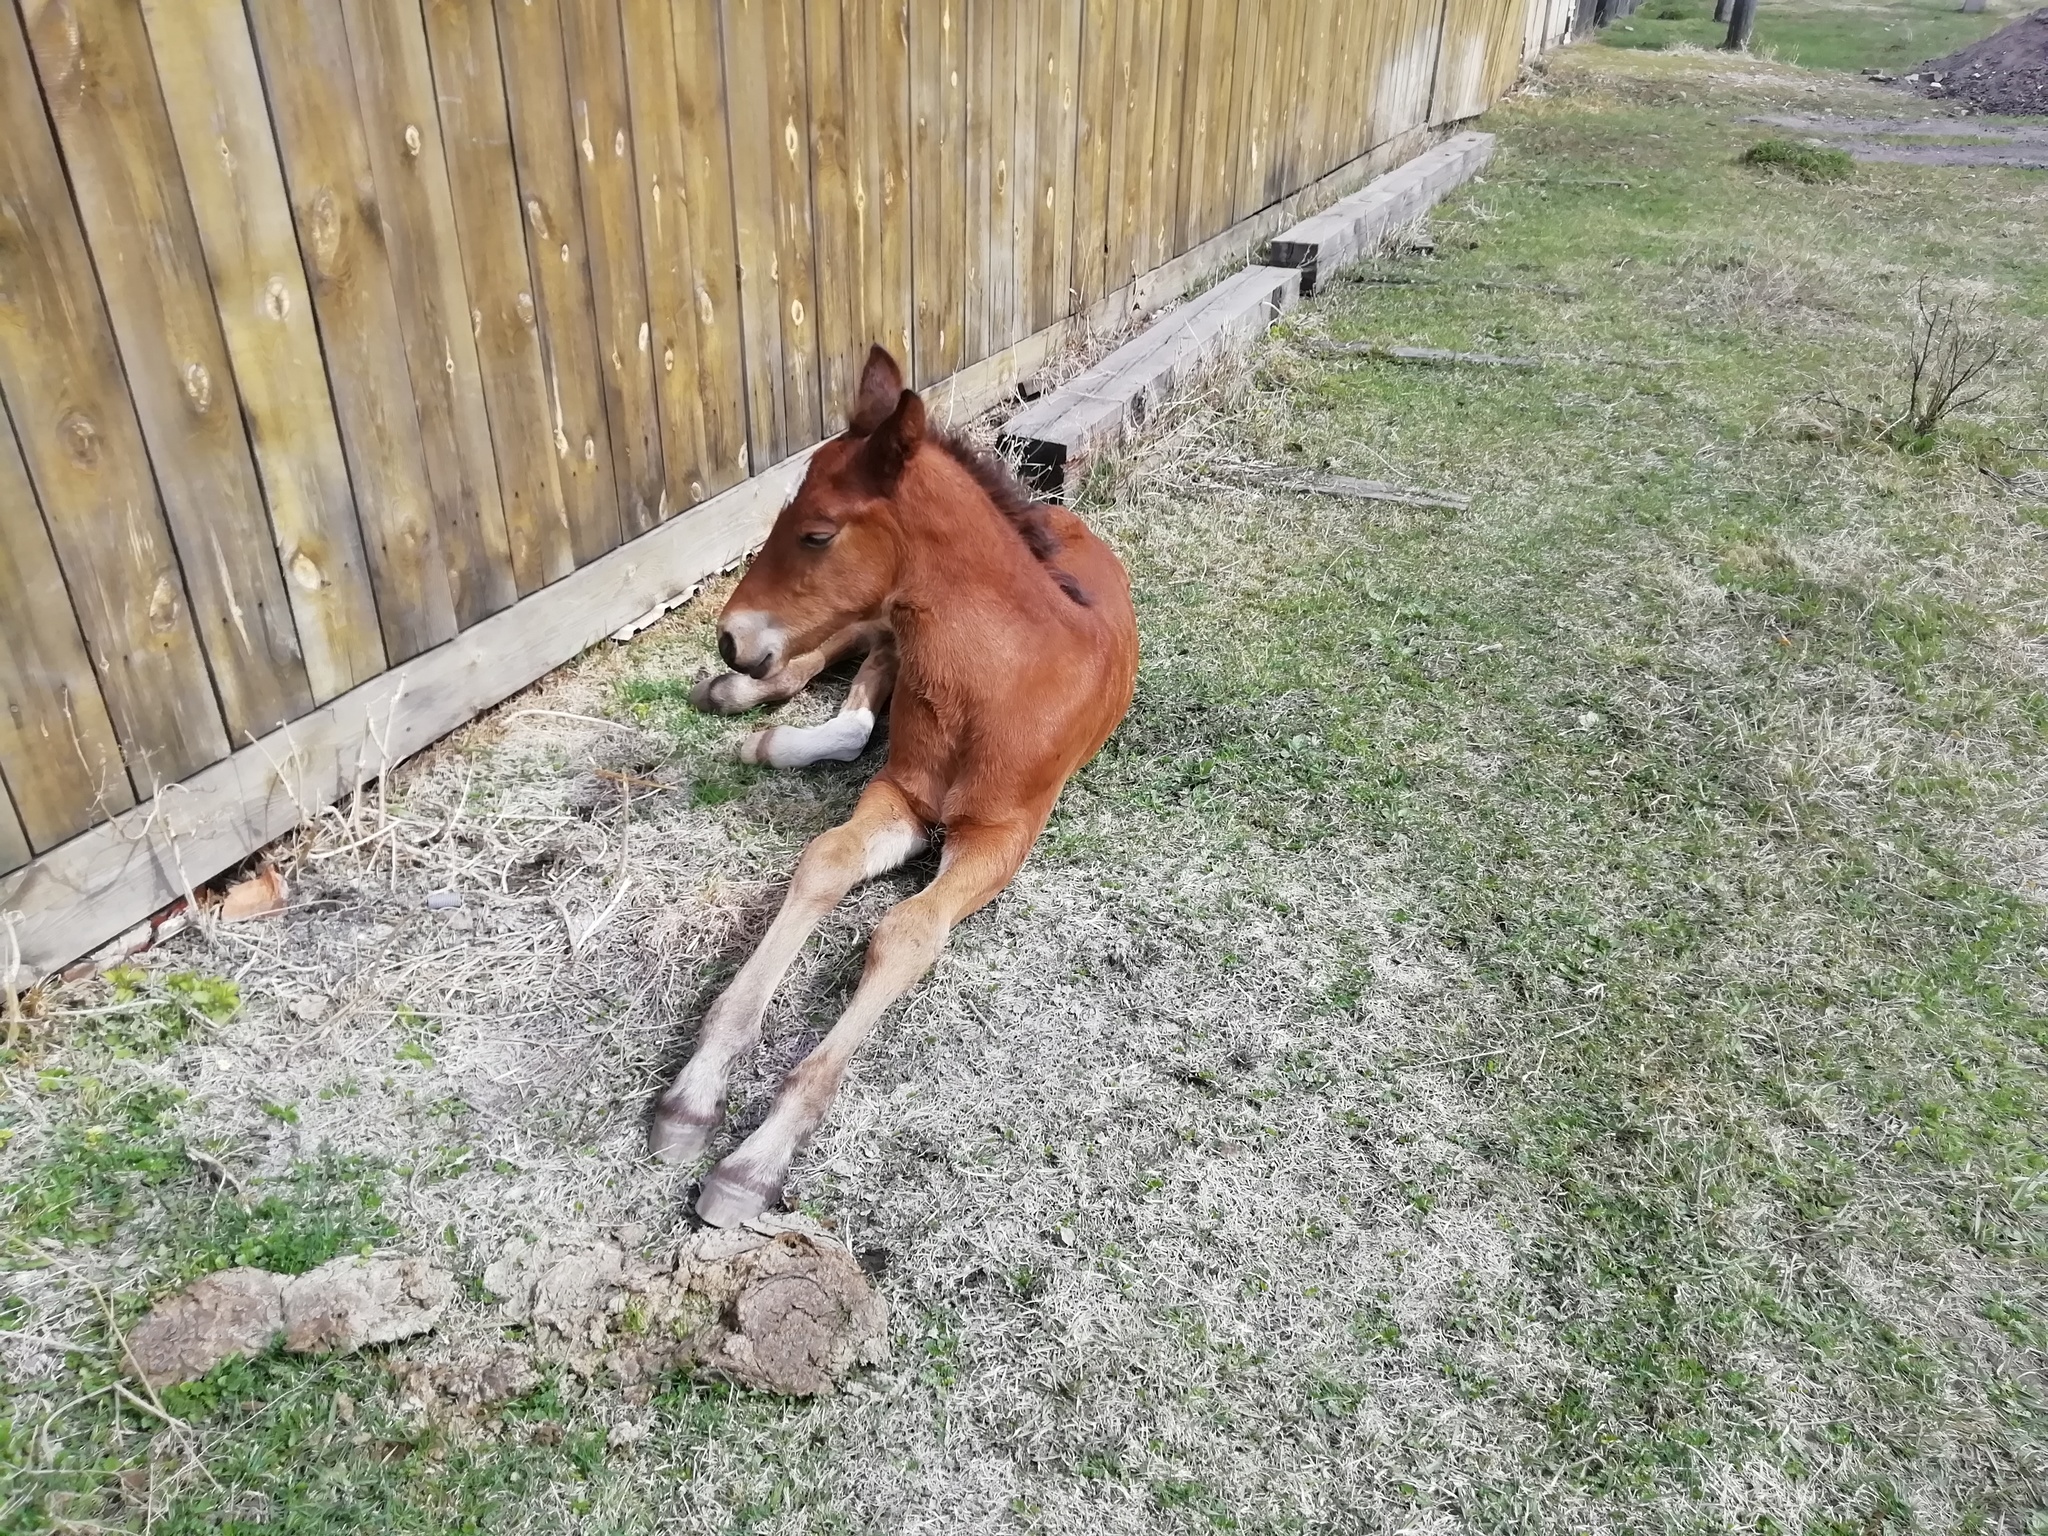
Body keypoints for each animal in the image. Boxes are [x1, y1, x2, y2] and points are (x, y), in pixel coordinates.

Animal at [651, 348, 1138, 1228]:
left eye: (816, 532)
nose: (730, 638)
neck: (999, 681)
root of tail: (1069, 520)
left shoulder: (1000, 837)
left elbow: (908, 932)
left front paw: (756, 1160)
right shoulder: (900, 796)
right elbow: (824, 863)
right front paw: (695, 1094)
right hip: (870, 622)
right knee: (838, 659)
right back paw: (742, 701)